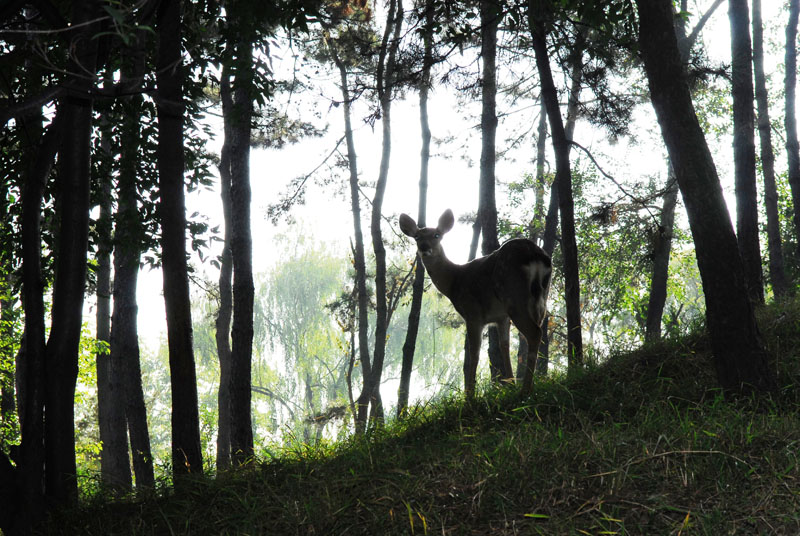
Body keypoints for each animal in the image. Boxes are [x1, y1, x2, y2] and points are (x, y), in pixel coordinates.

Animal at [399, 209, 552, 397]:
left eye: (437, 235)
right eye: (417, 236)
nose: (424, 248)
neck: (454, 282)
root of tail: (533, 253)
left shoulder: (472, 313)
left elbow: (474, 352)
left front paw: (470, 394)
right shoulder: (501, 317)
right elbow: (504, 346)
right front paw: (510, 384)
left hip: (514, 296)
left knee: (534, 333)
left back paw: (525, 391)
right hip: (540, 299)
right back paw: (528, 387)